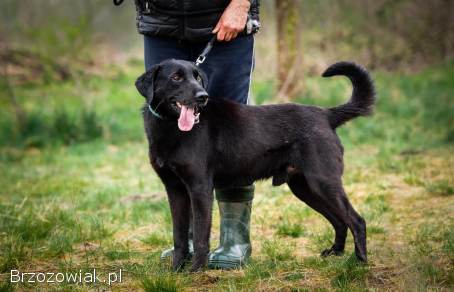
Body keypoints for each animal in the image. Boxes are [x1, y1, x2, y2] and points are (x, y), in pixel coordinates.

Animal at [136, 59, 376, 272]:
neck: (170, 127)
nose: (203, 97)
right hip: (305, 187)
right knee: (339, 220)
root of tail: (326, 114)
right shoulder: (175, 191)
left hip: (323, 182)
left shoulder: (200, 189)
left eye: (197, 77)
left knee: (356, 220)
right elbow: (179, 237)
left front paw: (196, 271)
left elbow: (201, 236)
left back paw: (360, 262)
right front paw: (176, 270)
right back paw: (336, 252)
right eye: (176, 77)